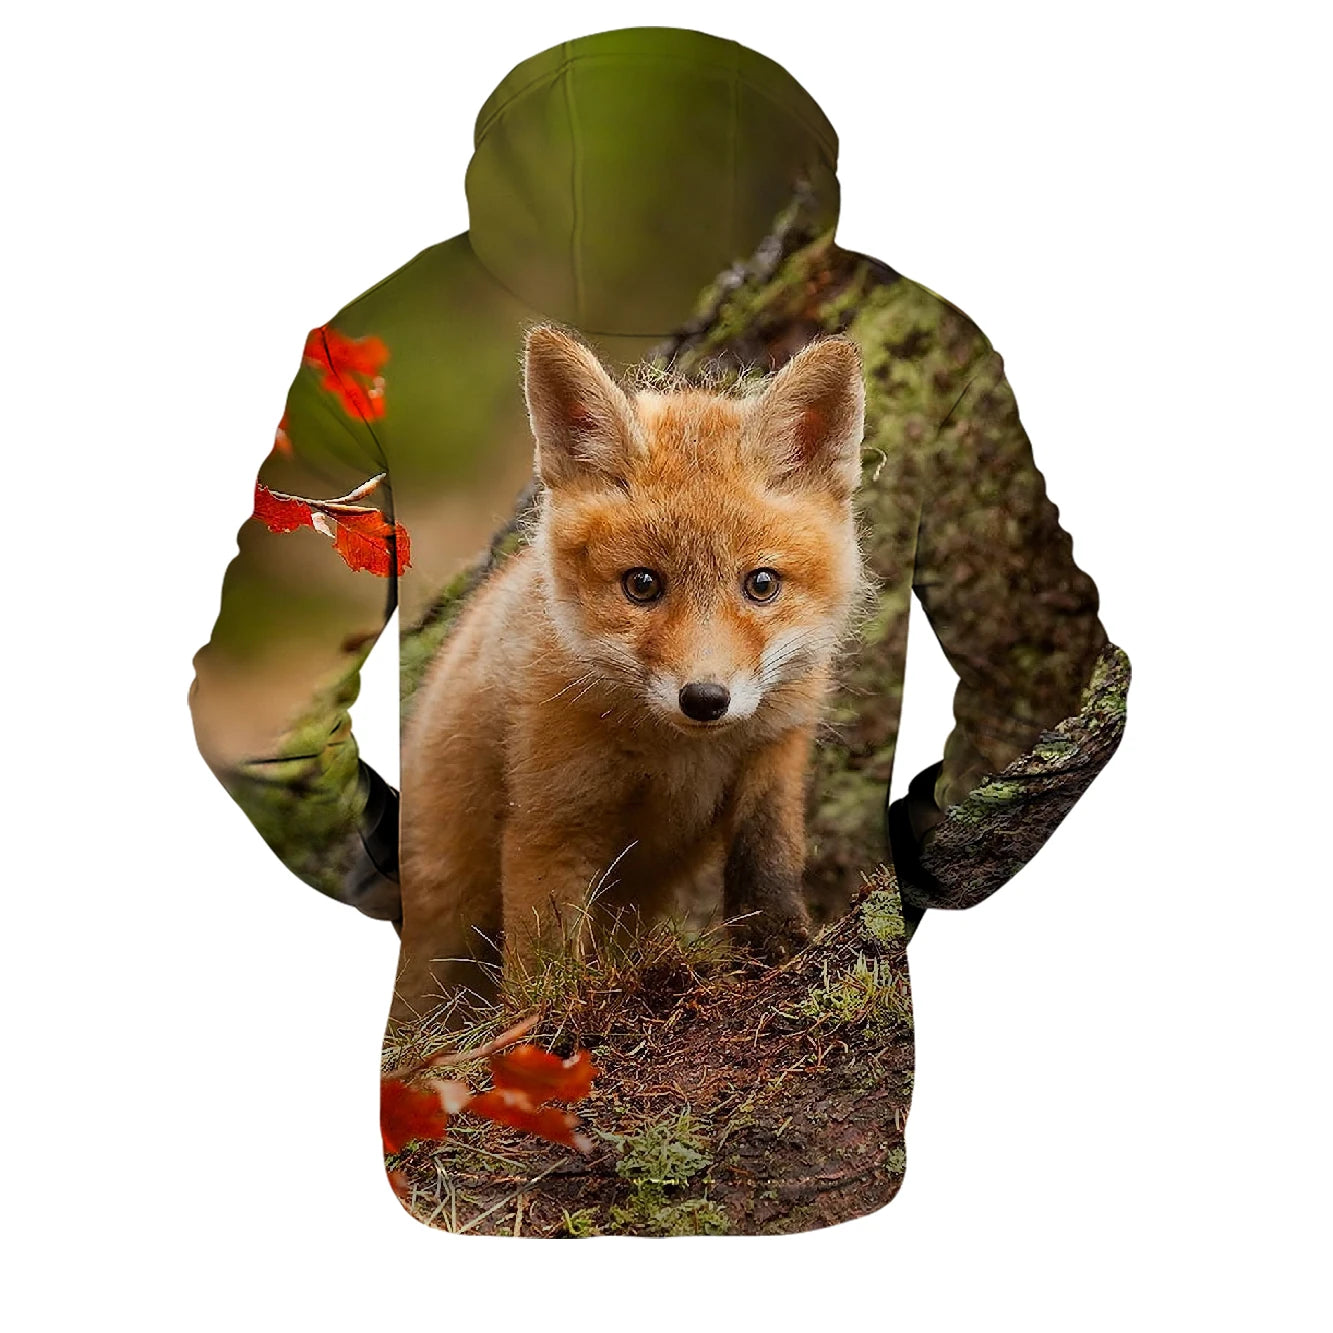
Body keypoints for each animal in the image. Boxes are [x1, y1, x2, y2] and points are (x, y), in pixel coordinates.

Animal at [393, 324, 867, 1023]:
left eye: (761, 584)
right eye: (642, 585)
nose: (705, 698)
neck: (679, 757)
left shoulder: (774, 757)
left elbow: (768, 867)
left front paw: (781, 953)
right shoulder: (553, 818)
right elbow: (542, 959)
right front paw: (543, 1024)